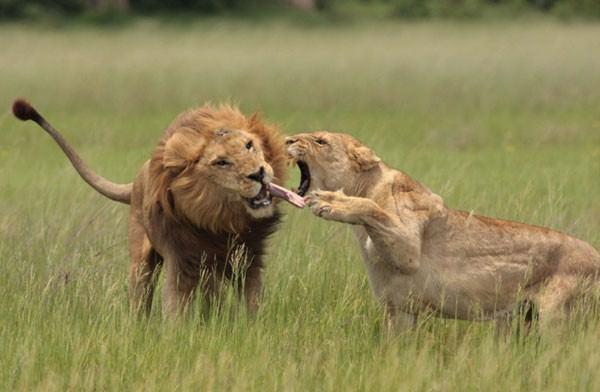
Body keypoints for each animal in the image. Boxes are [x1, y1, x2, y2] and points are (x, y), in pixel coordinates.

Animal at [11, 99, 298, 316]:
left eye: (249, 145)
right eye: (222, 162)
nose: (258, 173)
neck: (222, 221)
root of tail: (138, 176)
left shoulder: (248, 259)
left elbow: (251, 303)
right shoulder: (180, 259)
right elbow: (175, 306)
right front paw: (177, 338)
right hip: (141, 261)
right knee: (141, 296)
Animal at [286, 131, 600, 330]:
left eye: (321, 140)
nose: (288, 139)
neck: (366, 184)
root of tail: (596, 255)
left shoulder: (408, 248)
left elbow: (372, 208)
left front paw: (331, 202)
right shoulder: (400, 310)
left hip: (557, 317)